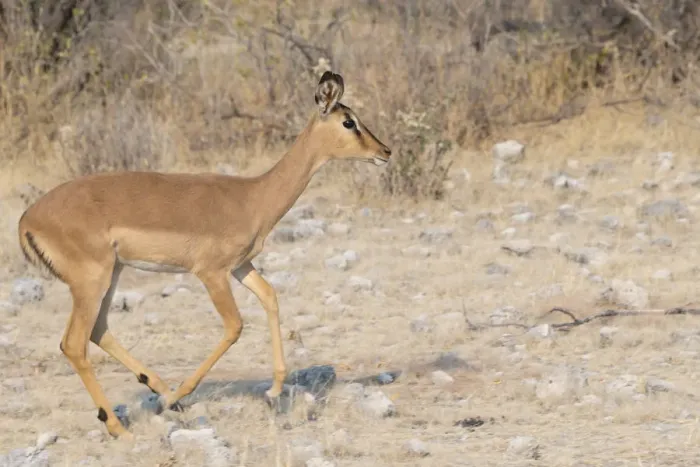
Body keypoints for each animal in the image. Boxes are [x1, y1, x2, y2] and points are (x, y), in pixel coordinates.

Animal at [17, 71, 392, 439]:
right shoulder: (211, 273)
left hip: (112, 274)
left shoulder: (241, 266)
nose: (385, 151)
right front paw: (180, 396)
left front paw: (273, 391)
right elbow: (234, 326)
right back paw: (122, 424)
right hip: (92, 280)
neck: (253, 197)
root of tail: (28, 219)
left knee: (97, 331)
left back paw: (156, 392)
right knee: (73, 343)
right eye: (349, 122)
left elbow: (270, 297)